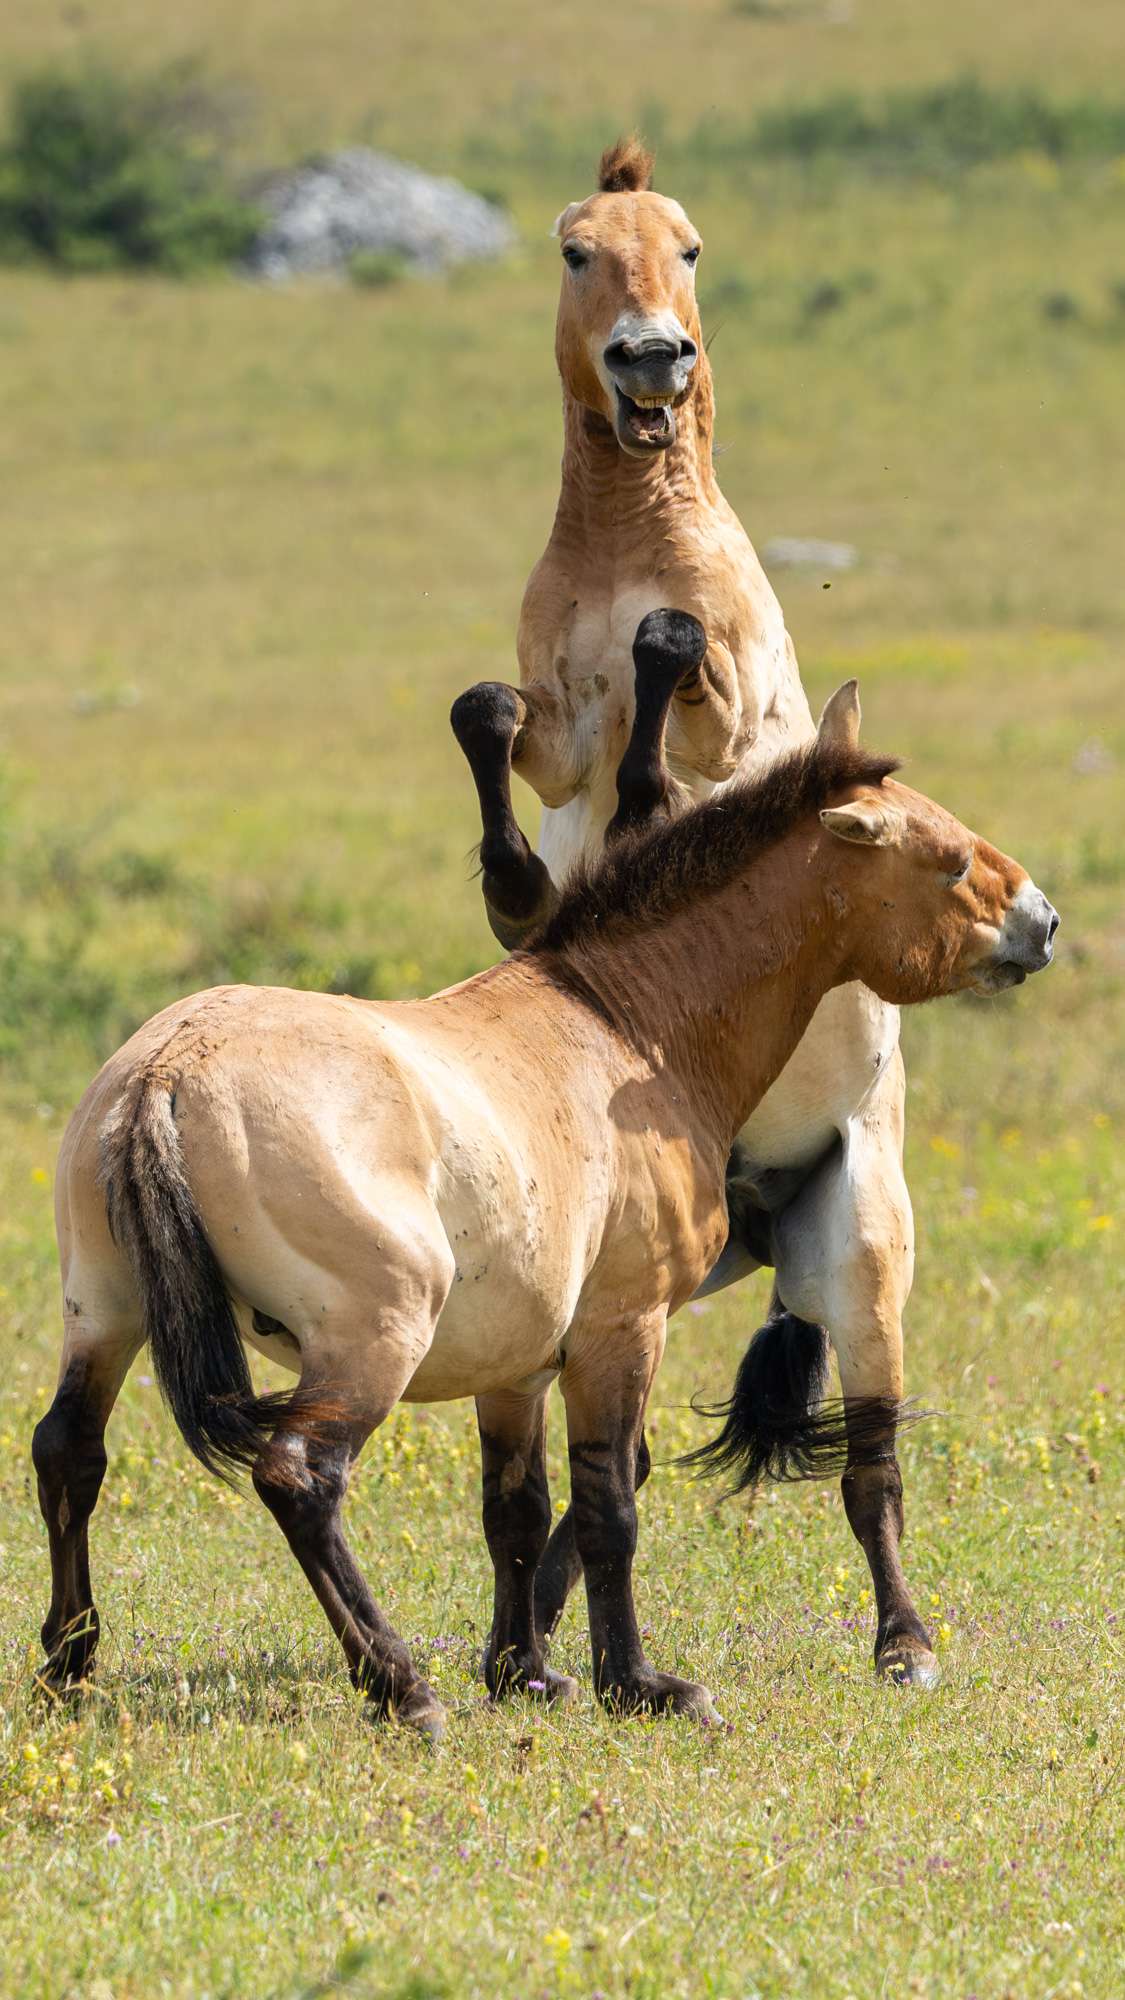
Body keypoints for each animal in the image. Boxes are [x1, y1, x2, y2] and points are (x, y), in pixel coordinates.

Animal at [33, 682, 1057, 1737]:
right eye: (947, 862)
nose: (1044, 921)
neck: (624, 1026)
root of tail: (167, 1072)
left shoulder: (515, 1366)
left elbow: (514, 1513)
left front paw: (527, 1670)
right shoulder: (621, 1331)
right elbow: (609, 1509)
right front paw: (638, 1684)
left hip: (105, 1317)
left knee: (69, 1453)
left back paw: (69, 1665)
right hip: (370, 1343)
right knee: (299, 1479)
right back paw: (399, 1686)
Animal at [450, 139, 949, 1686]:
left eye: (689, 246)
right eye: (574, 248)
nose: (651, 358)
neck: (631, 536)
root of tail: (770, 1205)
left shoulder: (747, 727)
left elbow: (674, 692)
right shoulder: (549, 737)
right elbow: (492, 724)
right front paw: (515, 873)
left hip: (859, 1255)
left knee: (872, 1463)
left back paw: (906, 1643)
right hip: (658, 1270)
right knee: (609, 1473)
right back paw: (537, 1642)